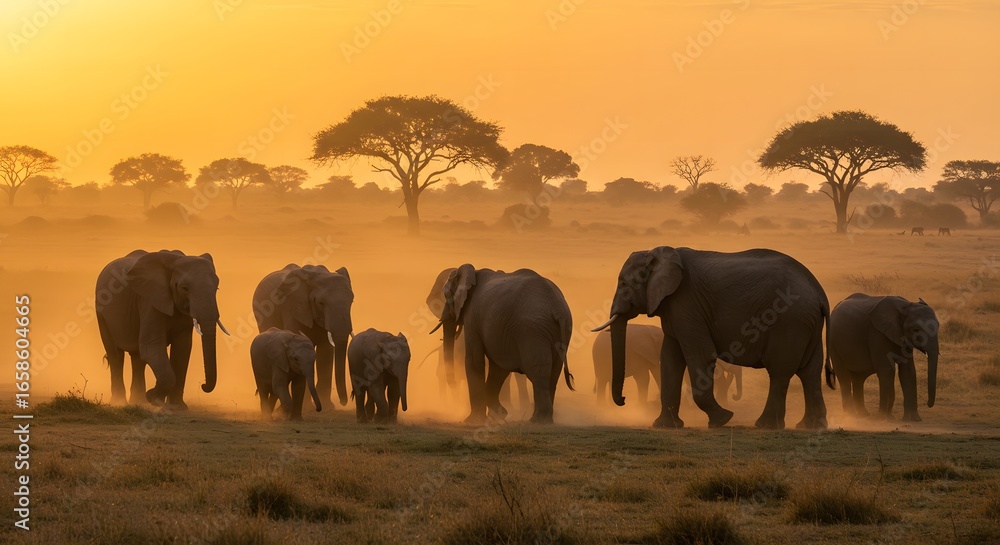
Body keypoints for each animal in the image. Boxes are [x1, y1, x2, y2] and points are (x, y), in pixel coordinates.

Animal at [96, 249, 228, 408]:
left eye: (217, 288)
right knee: (116, 356)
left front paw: (177, 407)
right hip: (101, 312)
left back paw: (139, 402)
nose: (203, 385)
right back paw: (119, 403)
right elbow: (152, 346)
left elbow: (182, 349)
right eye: (184, 288)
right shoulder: (149, 301)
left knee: (138, 359)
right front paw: (154, 398)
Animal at [253, 264, 353, 407]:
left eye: (351, 301)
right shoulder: (292, 307)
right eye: (321, 303)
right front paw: (307, 406)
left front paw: (328, 406)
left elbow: (326, 351)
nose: (343, 401)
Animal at [592, 324, 743, 406]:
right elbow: (645, 377)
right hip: (599, 359)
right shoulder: (638, 352)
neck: (653, 331)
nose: (735, 396)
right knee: (603, 379)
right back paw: (603, 406)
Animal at [828, 293, 939, 422]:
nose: (928, 404)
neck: (906, 306)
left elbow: (908, 371)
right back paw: (851, 415)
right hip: (833, 343)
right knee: (844, 376)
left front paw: (912, 420)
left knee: (858, 379)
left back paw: (862, 414)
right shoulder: (877, 333)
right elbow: (886, 369)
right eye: (915, 330)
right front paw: (882, 418)